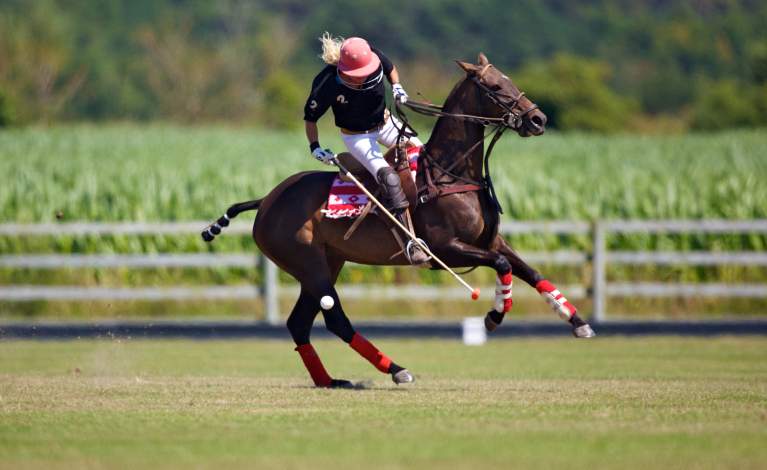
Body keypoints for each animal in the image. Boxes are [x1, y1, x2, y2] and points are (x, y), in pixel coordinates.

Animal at [201, 52, 596, 390]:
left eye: (509, 80)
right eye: (496, 87)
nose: (538, 120)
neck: (450, 173)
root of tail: (267, 200)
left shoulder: (489, 241)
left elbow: (531, 271)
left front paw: (577, 321)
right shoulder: (445, 250)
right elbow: (502, 266)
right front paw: (494, 316)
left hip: (329, 260)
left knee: (300, 322)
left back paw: (330, 380)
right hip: (306, 261)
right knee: (334, 317)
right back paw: (396, 369)